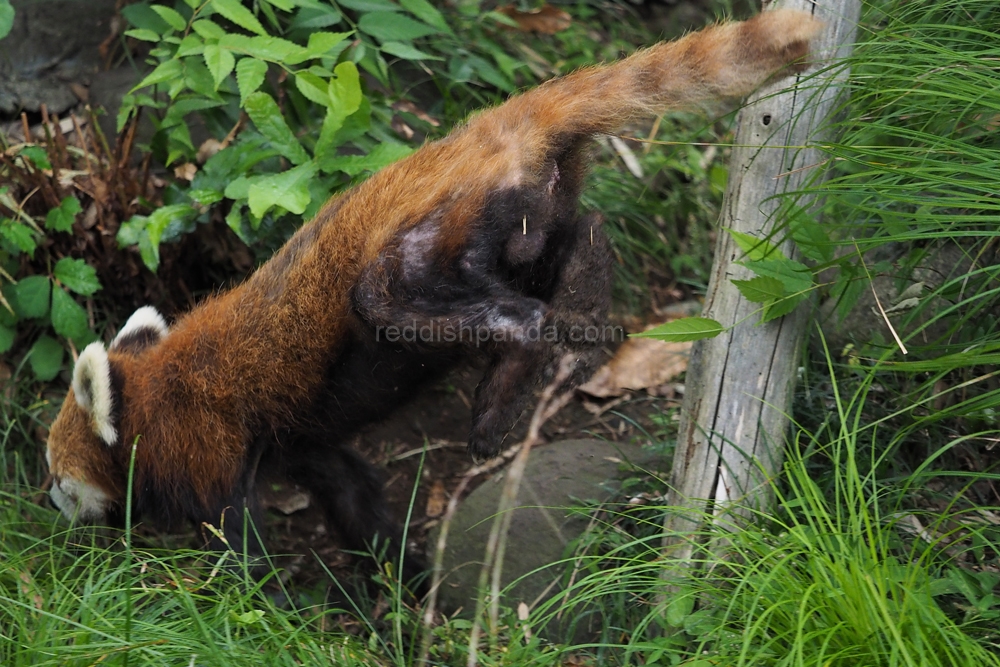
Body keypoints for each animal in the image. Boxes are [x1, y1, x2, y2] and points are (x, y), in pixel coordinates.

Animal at [43, 9, 820, 584]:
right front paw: (400, 578)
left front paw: (249, 595)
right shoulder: (293, 442)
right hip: (532, 209)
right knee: (575, 235)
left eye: (56, 471)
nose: (48, 498)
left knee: (429, 300)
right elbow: (352, 490)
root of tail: (482, 129)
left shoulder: (203, 441)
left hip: (436, 234)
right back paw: (583, 307)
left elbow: (237, 543)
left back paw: (506, 389)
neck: (152, 392)